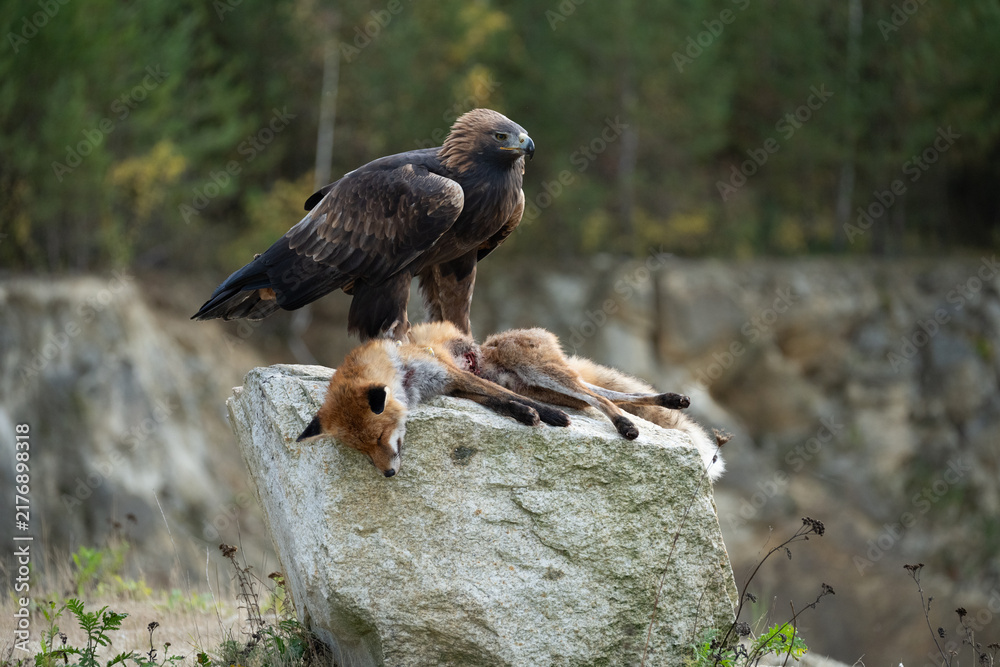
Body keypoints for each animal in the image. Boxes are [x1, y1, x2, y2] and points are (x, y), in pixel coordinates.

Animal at [299, 321, 724, 480]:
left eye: (377, 438)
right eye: (361, 451)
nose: (387, 474)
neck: (403, 370)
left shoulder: (453, 374)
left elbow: (504, 399)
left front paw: (549, 418)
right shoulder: (463, 388)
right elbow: (503, 403)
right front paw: (526, 416)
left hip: (539, 372)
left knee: (597, 396)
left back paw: (626, 424)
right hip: (544, 383)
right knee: (600, 394)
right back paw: (669, 400)